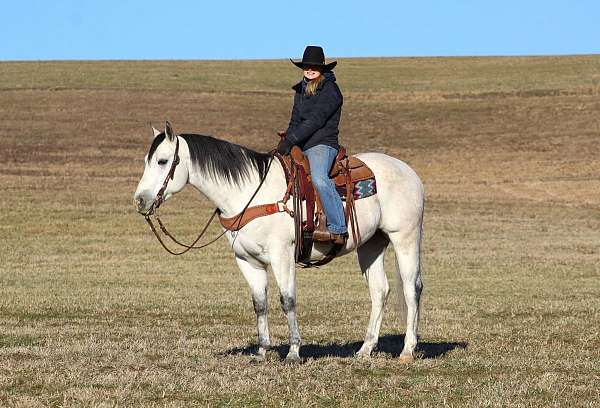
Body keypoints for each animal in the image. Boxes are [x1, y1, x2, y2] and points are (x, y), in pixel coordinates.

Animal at [134, 122, 424, 364]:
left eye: (162, 161)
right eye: (147, 160)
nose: (139, 200)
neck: (249, 193)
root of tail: (410, 172)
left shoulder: (281, 255)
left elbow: (288, 300)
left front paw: (294, 352)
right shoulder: (247, 261)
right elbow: (259, 303)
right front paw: (262, 351)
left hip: (405, 237)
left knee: (412, 289)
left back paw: (407, 350)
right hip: (371, 244)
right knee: (379, 290)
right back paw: (365, 349)